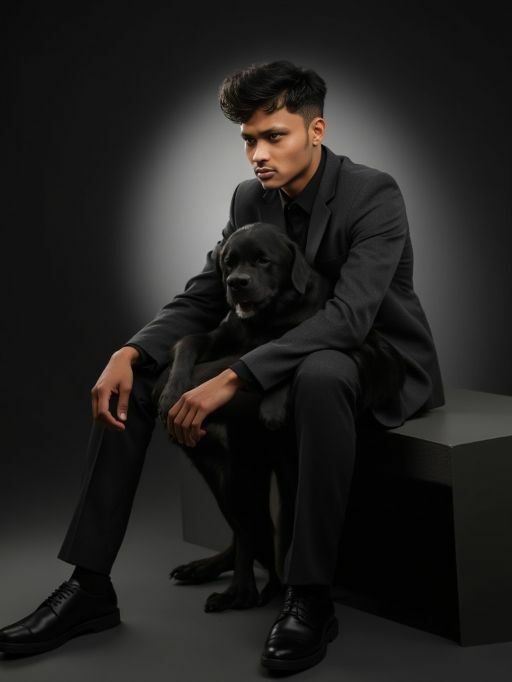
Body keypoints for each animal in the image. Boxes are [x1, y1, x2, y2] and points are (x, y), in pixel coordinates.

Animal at [151, 221, 406, 612]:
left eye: (263, 260)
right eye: (228, 261)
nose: (236, 282)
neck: (265, 320)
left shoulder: (333, 335)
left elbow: (288, 354)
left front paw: (271, 406)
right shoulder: (217, 334)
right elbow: (188, 342)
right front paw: (170, 392)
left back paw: (247, 590)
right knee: (245, 531)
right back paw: (217, 573)